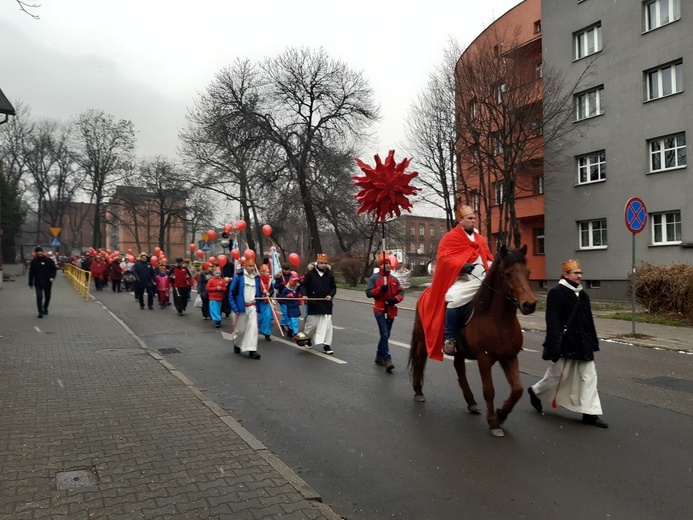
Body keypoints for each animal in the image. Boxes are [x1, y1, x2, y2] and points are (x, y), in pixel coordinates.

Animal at [408, 246, 536, 436]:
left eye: (528, 272)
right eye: (508, 274)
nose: (530, 304)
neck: (498, 319)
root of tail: (426, 292)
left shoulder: (510, 357)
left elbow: (517, 390)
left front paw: (501, 414)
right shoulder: (484, 358)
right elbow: (489, 390)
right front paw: (494, 422)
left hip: (460, 350)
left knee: (459, 369)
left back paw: (471, 402)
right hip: (423, 339)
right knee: (418, 360)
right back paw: (418, 391)